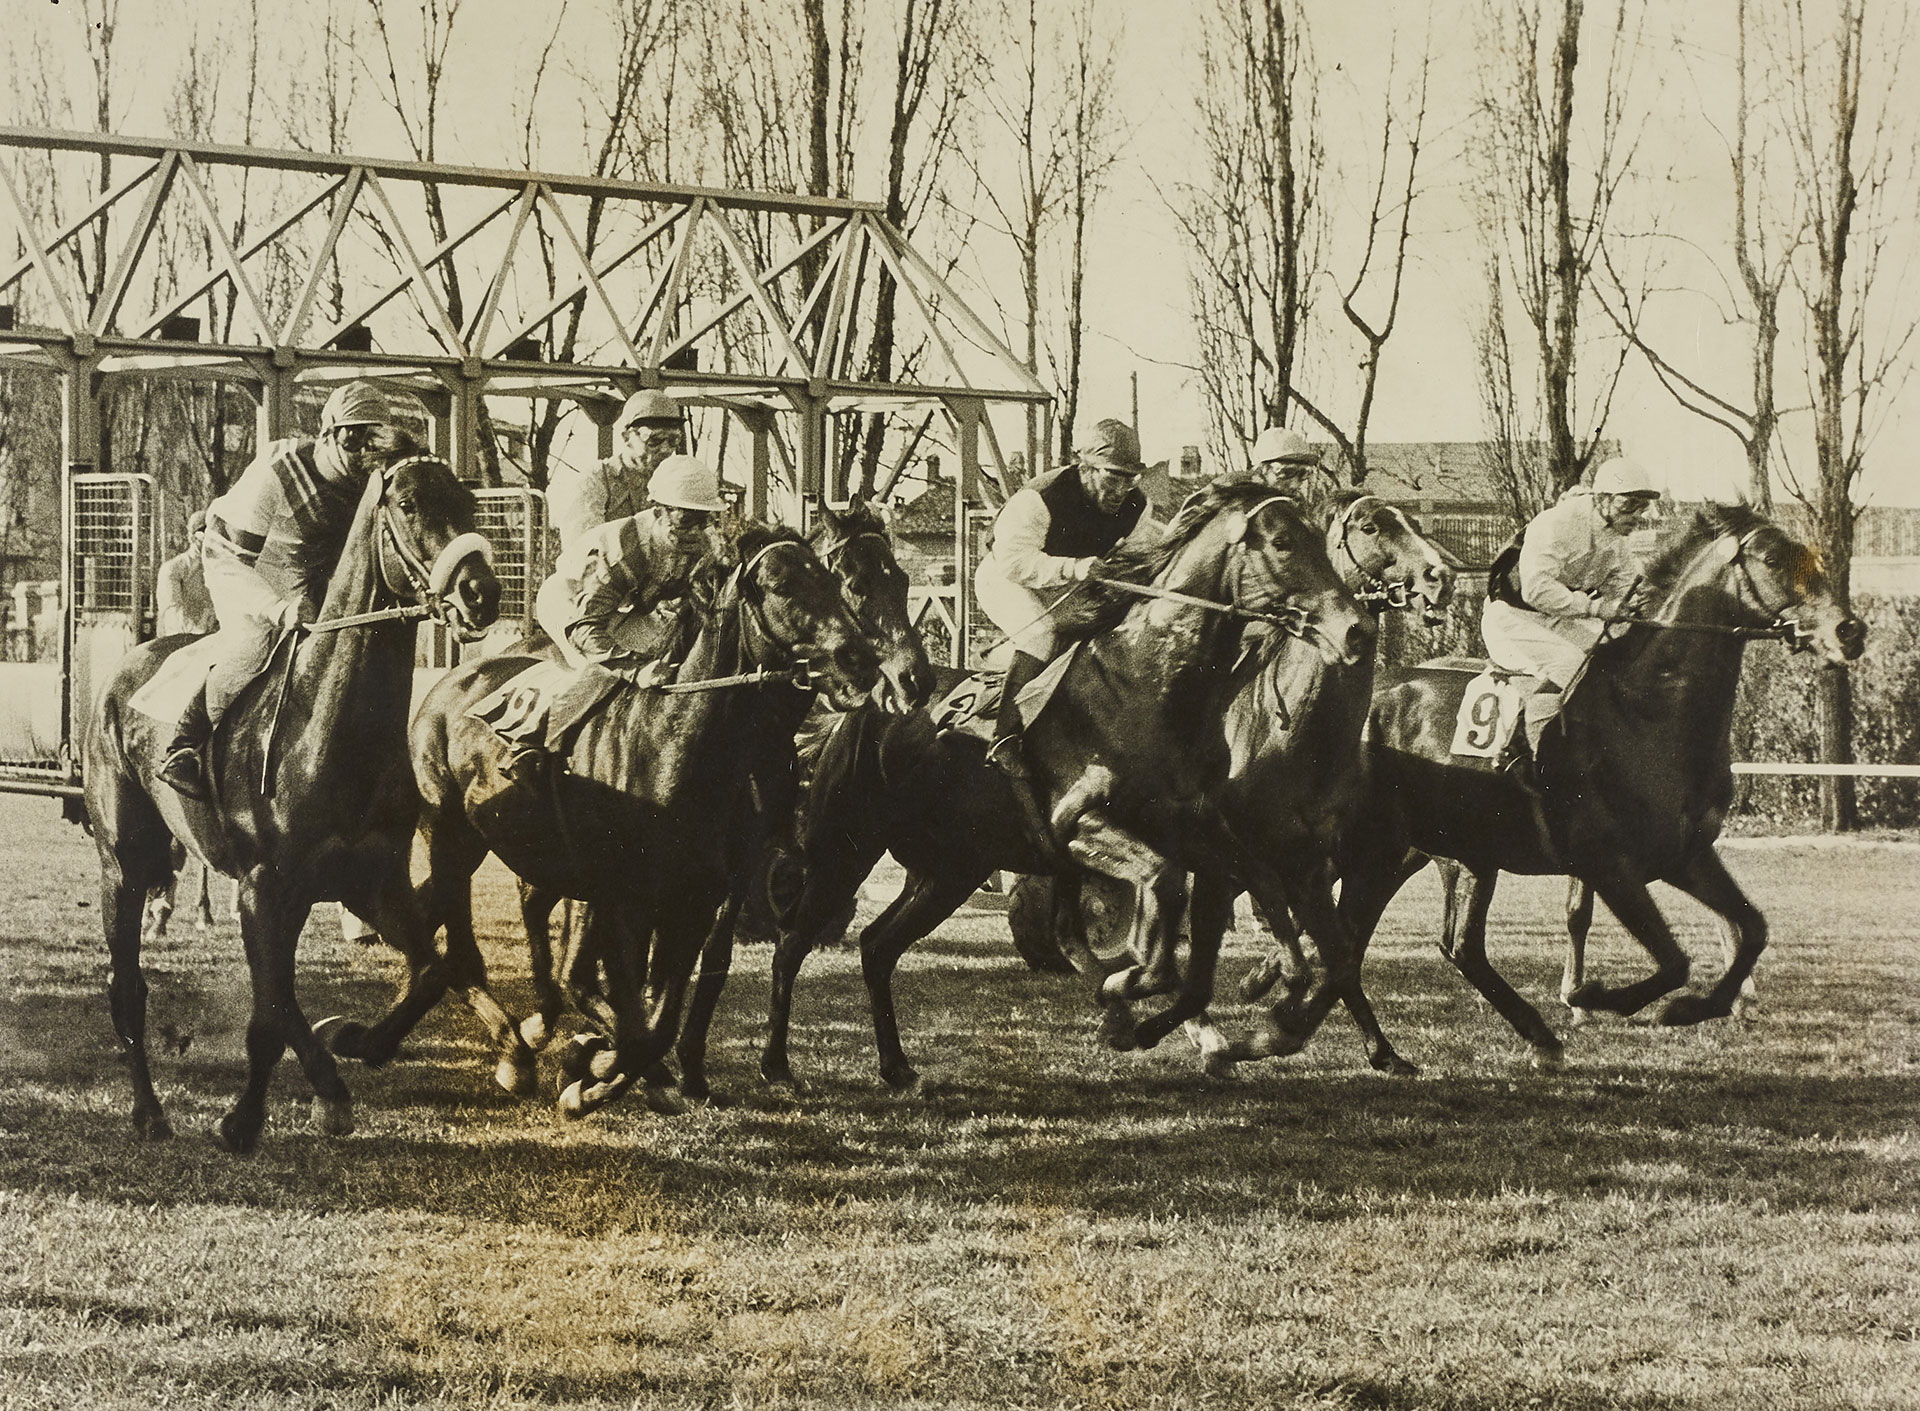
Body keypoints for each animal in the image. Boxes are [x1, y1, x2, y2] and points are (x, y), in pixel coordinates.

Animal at [82, 443, 503, 1159]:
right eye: (409, 503)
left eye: (471, 503)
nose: (482, 593)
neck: (329, 730)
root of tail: (127, 664)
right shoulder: (263, 886)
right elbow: (269, 1013)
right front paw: (245, 1120)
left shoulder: (371, 881)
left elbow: (427, 974)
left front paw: (356, 1043)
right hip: (124, 863)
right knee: (129, 988)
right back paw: (149, 1112)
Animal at [405, 522, 883, 1113]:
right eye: (782, 585)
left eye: (832, 581)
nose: (860, 659)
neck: (675, 746)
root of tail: (453, 679)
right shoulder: (621, 899)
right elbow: (617, 1002)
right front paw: (591, 1073)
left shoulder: (696, 897)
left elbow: (662, 1013)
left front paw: (600, 1067)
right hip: (447, 831)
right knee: (460, 939)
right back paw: (511, 1052)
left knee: (529, 910)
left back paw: (539, 1030)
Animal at [756, 483, 1374, 1090]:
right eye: (1282, 543)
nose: (1357, 629)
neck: (1145, 685)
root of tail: (865, 710)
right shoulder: (1079, 825)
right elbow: (1164, 894)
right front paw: (1125, 992)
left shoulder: (1202, 833)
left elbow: (1234, 913)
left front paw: (1263, 994)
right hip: (845, 852)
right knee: (792, 944)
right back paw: (776, 1065)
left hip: (950, 870)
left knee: (877, 948)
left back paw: (896, 1066)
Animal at [1336, 506, 1858, 1059]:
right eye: (1774, 559)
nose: (1849, 630)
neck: (1650, 715)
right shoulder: (1608, 864)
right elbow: (1672, 960)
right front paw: (1594, 996)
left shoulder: (1685, 855)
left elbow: (1752, 928)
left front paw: (1698, 1007)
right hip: (1378, 851)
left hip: (1444, 854)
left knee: (1448, 946)